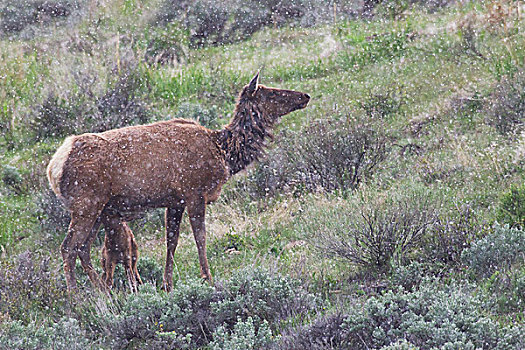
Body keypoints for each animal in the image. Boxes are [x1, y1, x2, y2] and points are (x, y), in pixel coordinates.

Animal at [47, 72, 310, 292]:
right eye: (271, 92)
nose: (305, 96)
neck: (224, 153)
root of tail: (54, 168)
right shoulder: (194, 192)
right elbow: (200, 238)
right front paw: (207, 278)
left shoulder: (175, 201)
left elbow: (171, 242)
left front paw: (167, 284)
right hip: (87, 204)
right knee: (68, 247)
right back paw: (77, 297)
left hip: (98, 209)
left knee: (83, 248)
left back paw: (103, 291)